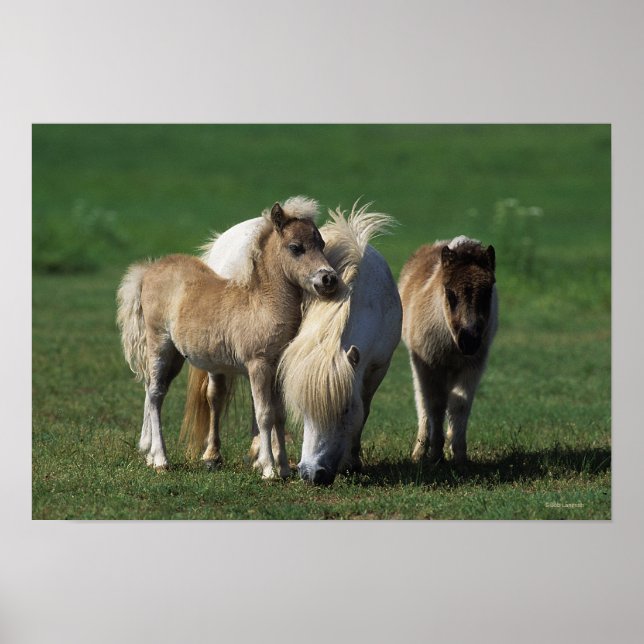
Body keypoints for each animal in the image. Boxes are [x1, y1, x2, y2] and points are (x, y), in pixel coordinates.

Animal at [116, 200, 338, 479]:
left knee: (152, 389)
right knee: (156, 394)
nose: (329, 278)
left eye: (321, 244)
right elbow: (264, 414)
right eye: (296, 247)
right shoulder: (258, 365)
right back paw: (160, 460)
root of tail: (148, 271)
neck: (262, 304)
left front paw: (285, 469)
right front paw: (268, 469)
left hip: (176, 356)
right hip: (159, 344)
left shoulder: (277, 368)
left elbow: (279, 414)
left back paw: (149, 454)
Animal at [182, 200, 402, 484]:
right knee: (216, 396)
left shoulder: (377, 367)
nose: (313, 473)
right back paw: (213, 456)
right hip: (216, 359)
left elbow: (362, 410)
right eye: (296, 248)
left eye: (344, 410)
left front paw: (351, 461)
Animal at [398, 235, 498, 468]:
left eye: (488, 292)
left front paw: (459, 457)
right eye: (450, 293)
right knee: (423, 402)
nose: (469, 341)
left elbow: (459, 404)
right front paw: (435, 455)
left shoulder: (473, 366)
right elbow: (435, 404)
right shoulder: (429, 364)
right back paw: (419, 452)